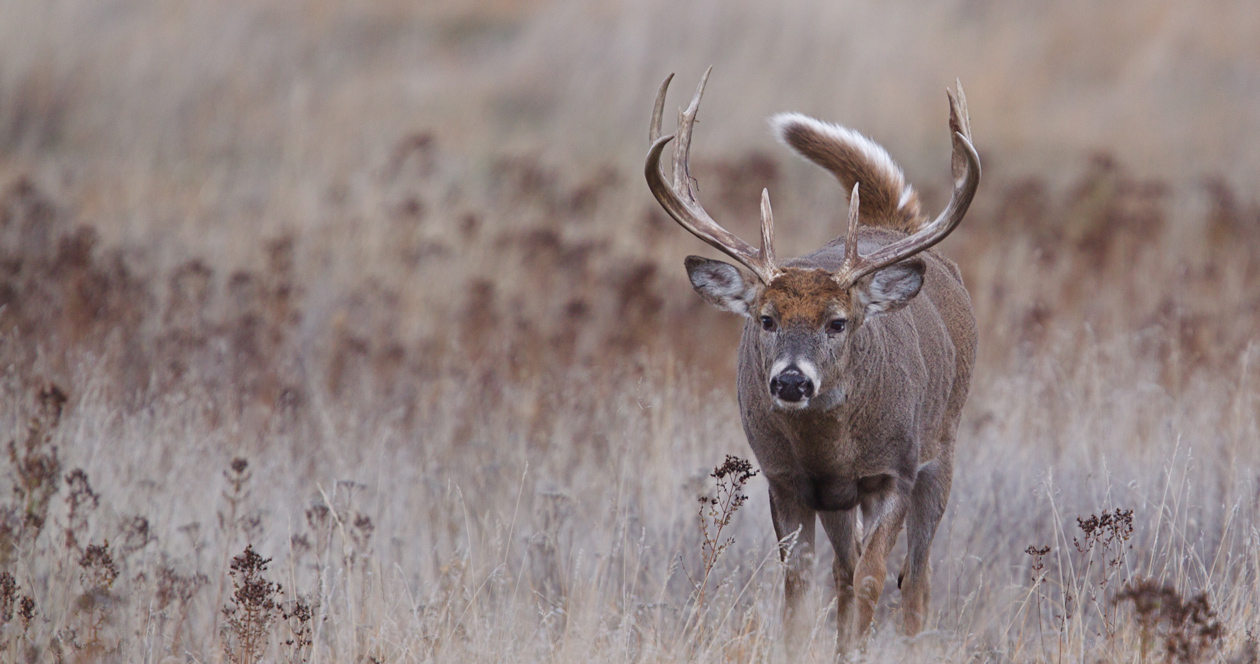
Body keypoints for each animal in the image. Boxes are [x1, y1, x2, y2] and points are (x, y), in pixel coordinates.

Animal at [650, 70, 982, 650]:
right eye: (766, 319)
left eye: (838, 322)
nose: (790, 382)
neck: (829, 452)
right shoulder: (786, 480)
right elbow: (801, 589)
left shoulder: (894, 470)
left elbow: (874, 578)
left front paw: (857, 651)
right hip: (840, 500)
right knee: (843, 572)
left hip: (942, 444)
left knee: (915, 579)